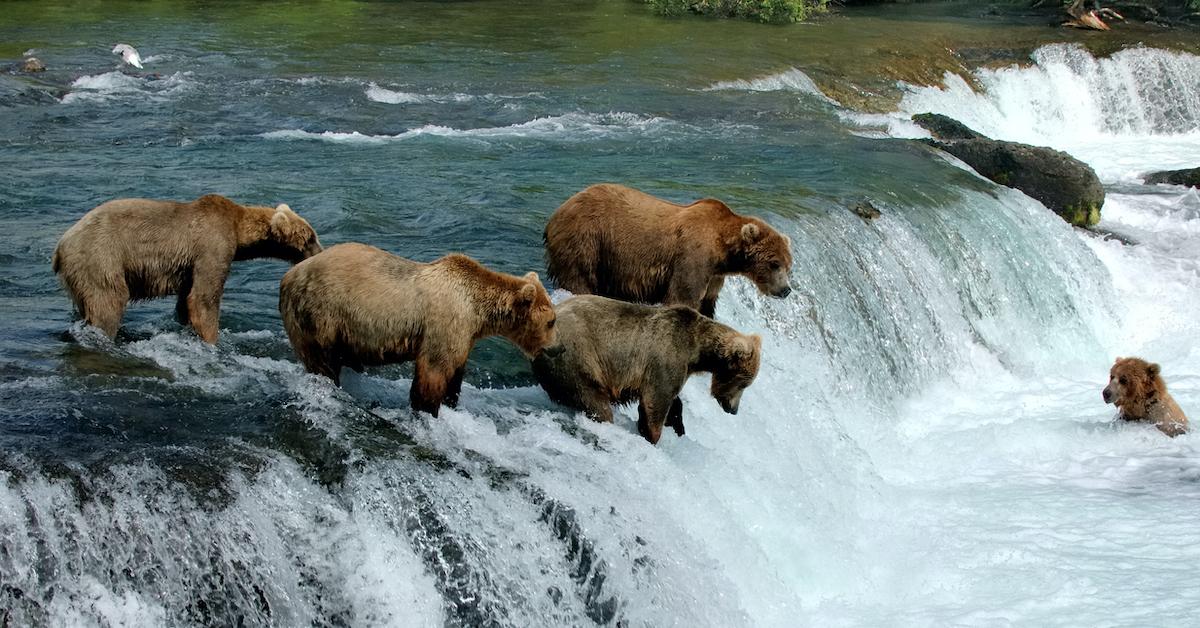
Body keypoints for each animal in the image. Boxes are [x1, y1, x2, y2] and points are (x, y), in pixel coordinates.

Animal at [54, 195, 321, 343]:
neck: (239, 231)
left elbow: (186, 300)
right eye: (310, 237)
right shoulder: (212, 245)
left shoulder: (188, 267)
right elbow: (204, 297)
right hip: (100, 257)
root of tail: (61, 245)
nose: (320, 251)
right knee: (108, 301)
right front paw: (212, 340)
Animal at [278, 243, 559, 415]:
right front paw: (427, 409)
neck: (476, 310)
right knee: (322, 361)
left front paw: (451, 402)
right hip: (320, 313)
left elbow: (455, 371)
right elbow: (433, 371)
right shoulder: (444, 323)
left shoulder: (464, 335)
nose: (558, 348)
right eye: (552, 321)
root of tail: (288, 276)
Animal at [532, 294, 758, 444]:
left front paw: (677, 426)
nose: (733, 409)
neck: (697, 350)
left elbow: (673, 401)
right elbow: (656, 401)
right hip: (577, 357)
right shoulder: (667, 357)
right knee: (594, 400)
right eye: (743, 383)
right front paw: (652, 434)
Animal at [547, 182, 796, 319]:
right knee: (579, 277)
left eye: (788, 266)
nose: (785, 290)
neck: (723, 251)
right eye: (774, 264)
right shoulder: (693, 258)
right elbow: (682, 296)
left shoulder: (715, 276)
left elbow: (707, 304)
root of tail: (558, 210)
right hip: (587, 240)